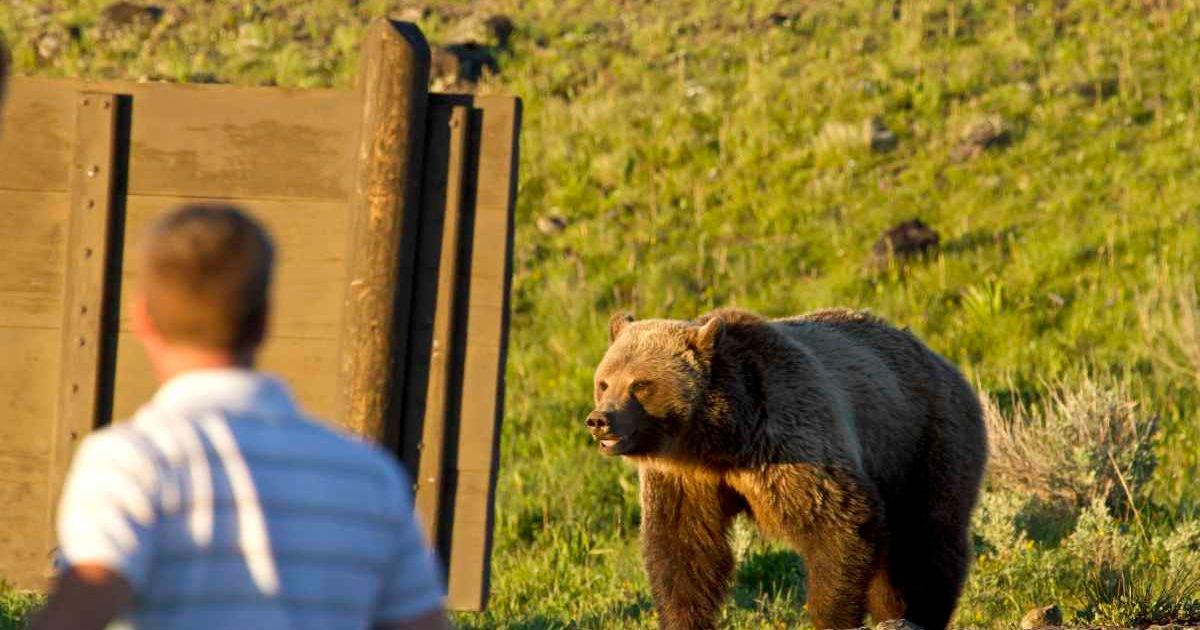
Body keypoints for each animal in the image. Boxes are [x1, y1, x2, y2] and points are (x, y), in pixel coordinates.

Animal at [585, 307, 987, 630]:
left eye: (640, 385)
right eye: (604, 382)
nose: (600, 420)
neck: (718, 438)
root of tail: (943, 360)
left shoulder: (788, 436)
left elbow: (838, 521)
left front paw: (831, 615)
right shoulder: (686, 476)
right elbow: (684, 547)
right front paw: (683, 618)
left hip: (923, 440)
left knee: (926, 538)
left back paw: (916, 611)